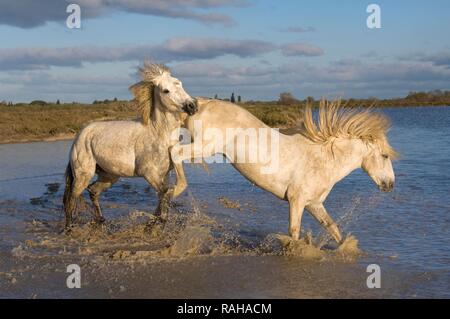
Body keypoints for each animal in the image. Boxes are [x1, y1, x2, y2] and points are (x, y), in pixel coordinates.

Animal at [63, 63, 197, 230]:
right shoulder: (149, 173)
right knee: (72, 198)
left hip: (110, 175)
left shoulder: (164, 175)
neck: (159, 134)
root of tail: (80, 135)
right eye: (166, 90)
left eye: (180, 83)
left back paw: (101, 220)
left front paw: (154, 221)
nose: (192, 106)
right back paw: (69, 227)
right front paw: (158, 221)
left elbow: (164, 194)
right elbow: (166, 192)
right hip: (83, 175)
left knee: (93, 191)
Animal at [170, 99, 398, 244]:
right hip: (205, 147)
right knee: (175, 152)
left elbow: (333, 229)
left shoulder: (314, 204)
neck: (325, 159)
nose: (390, 184)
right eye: (385, 156)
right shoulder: (297, 200)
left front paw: (347, 249)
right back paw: (174, 190)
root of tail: (202, 103)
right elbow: (294, 233)